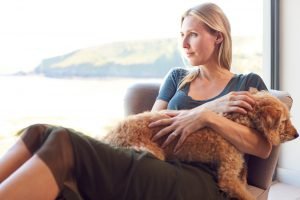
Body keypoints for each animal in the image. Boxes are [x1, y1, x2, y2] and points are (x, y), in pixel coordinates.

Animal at [102, 89, 298, 200]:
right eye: (284, 121)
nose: (297, 134)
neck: (235, 122)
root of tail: (107, 136)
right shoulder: (227, 177)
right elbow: (247, 196)